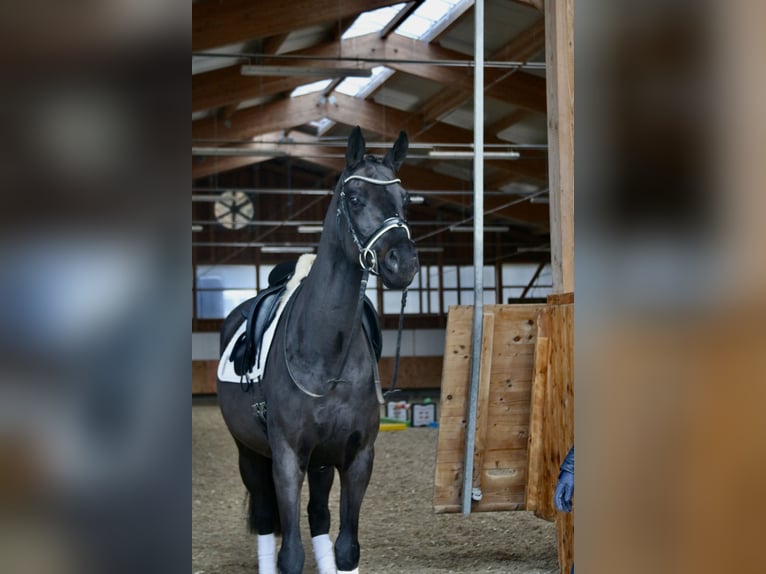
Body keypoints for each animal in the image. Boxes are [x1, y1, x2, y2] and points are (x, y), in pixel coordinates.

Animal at [216, 127, 420, 574]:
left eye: (405, 199)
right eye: (355, 198)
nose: (403, 263)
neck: (326, 354)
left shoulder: (357, 457)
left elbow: (346, 548)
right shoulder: (287, 458)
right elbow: (290, 554)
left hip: (322, 462)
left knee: (319, 516)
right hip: (250, 455)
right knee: (264, 516)